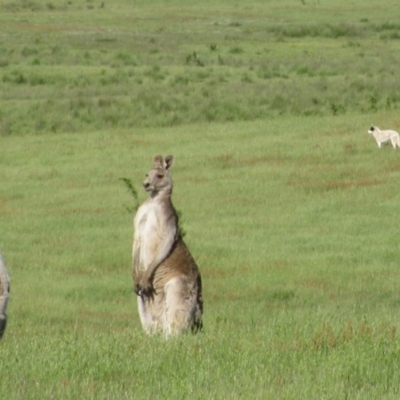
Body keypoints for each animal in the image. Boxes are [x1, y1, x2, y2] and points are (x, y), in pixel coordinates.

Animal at [133, 155, 203, 336]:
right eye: (147, 174)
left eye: (159, 176)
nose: (146, 184)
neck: (154, 201)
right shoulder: (138, 224)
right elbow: (136, 242)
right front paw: (136, 277)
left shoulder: (170, 224)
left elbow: (165, 244)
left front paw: (146, 277)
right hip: (142, 302)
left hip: (177, 289)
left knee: (175, 324)